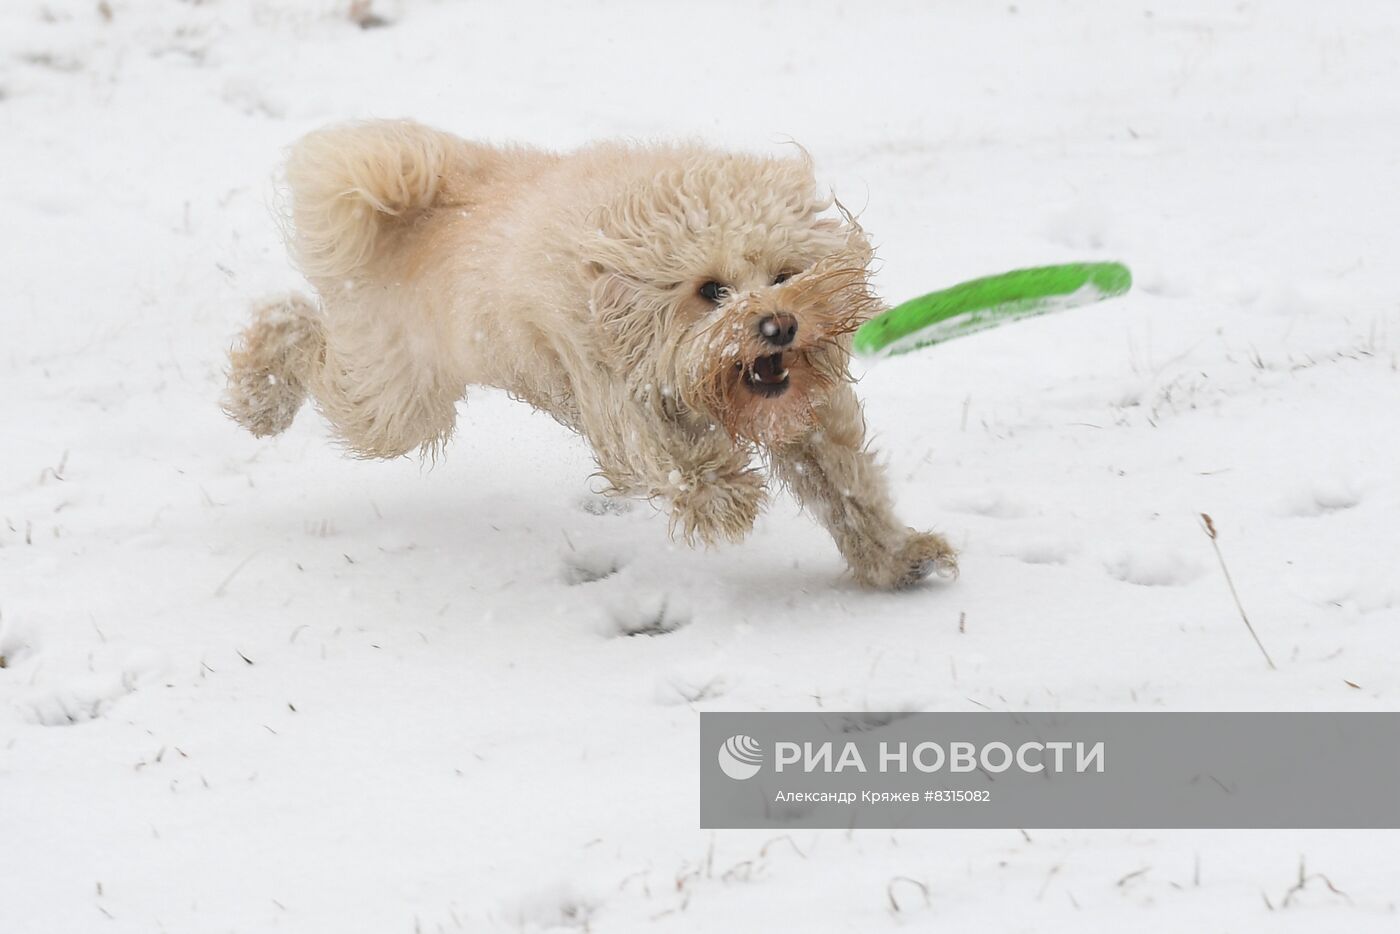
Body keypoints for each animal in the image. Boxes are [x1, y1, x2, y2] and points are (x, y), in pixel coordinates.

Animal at [224, 120, 957, 588]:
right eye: (711, 290)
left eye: (784, 275)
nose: (778, 327)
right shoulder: (613, 395)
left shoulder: (805, 416)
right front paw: (726, 499)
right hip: (394, 400)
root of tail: (407, 205)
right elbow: (678, 460)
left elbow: (847, 487)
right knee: (294, 324)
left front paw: (897, 557)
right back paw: (259, 397)